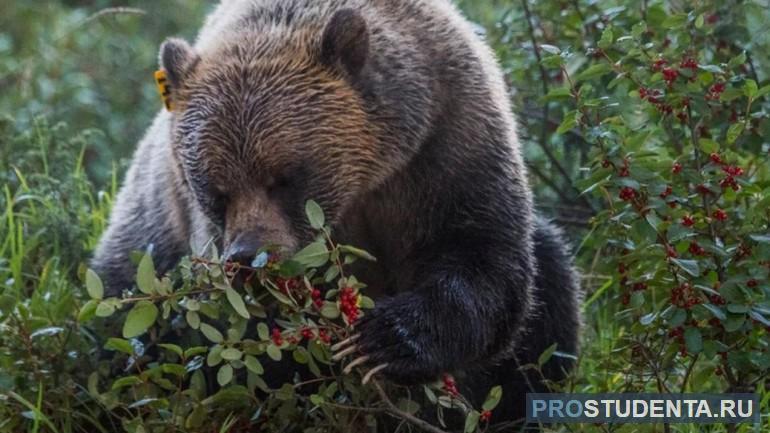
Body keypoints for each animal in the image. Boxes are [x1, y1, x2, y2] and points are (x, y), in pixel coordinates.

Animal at [93, 0, 580, 426]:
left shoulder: (446, 144)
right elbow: (260, 349)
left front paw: (383, 339)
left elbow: (484, 259)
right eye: (215, 191)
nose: (248, 258)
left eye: (284, 177)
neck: (366, 181)